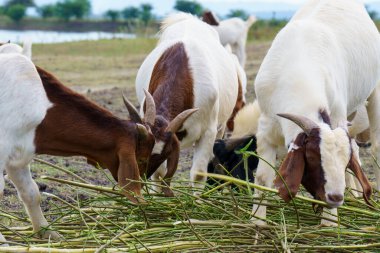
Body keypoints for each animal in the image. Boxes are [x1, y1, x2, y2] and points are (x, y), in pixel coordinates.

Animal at [0, 44, 156, 242]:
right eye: (141, 159)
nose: (142, 186)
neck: (41, 104)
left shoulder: (19, 155)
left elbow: (32, 192)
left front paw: (48, 233)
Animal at [135, 12, 239, 196]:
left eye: (163, 154)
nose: (143, 175)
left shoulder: (208, 132)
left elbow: (198, 175)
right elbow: (159, 174)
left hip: (220, 128)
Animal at [251, 0, 378, 226]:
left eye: (343, 161)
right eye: (312, 156)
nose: (336, 197)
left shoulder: (336, 115)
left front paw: (329, 224)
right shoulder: (266, 127)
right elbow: (262, 178)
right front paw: (257, 224)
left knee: (376, 147)